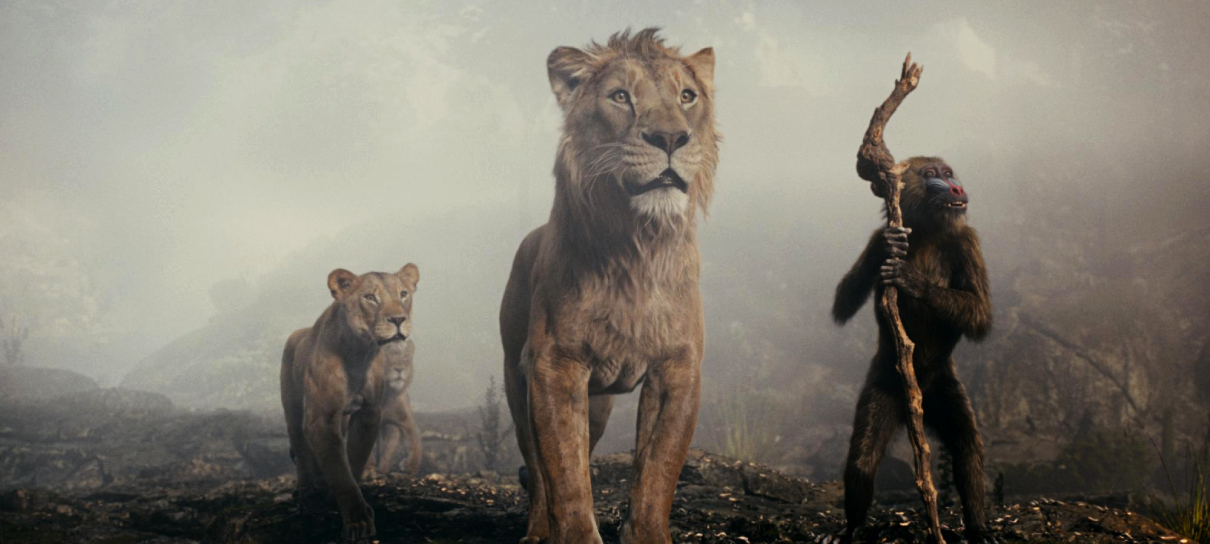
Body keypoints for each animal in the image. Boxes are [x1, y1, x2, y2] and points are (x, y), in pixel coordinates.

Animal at [280, 264, 419, 543]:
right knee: (300, 447)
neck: (359, 353)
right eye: (370, 297)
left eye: (403, 294)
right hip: (292, 409)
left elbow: (353, 461)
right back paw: (306, 489)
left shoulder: (368, 414)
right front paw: (358, 522)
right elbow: (339, 470)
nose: (398, 320)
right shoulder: (320, 419)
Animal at [499, 28, 719, 544]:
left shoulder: (678, 367)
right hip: (517, 380)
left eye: (687, 96)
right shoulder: (555, 365)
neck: (638, 246)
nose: (670, 137)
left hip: (597, 404)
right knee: (538, 470)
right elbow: (565, 474)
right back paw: (537, 530)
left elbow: (658, 470)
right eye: (620, 97)